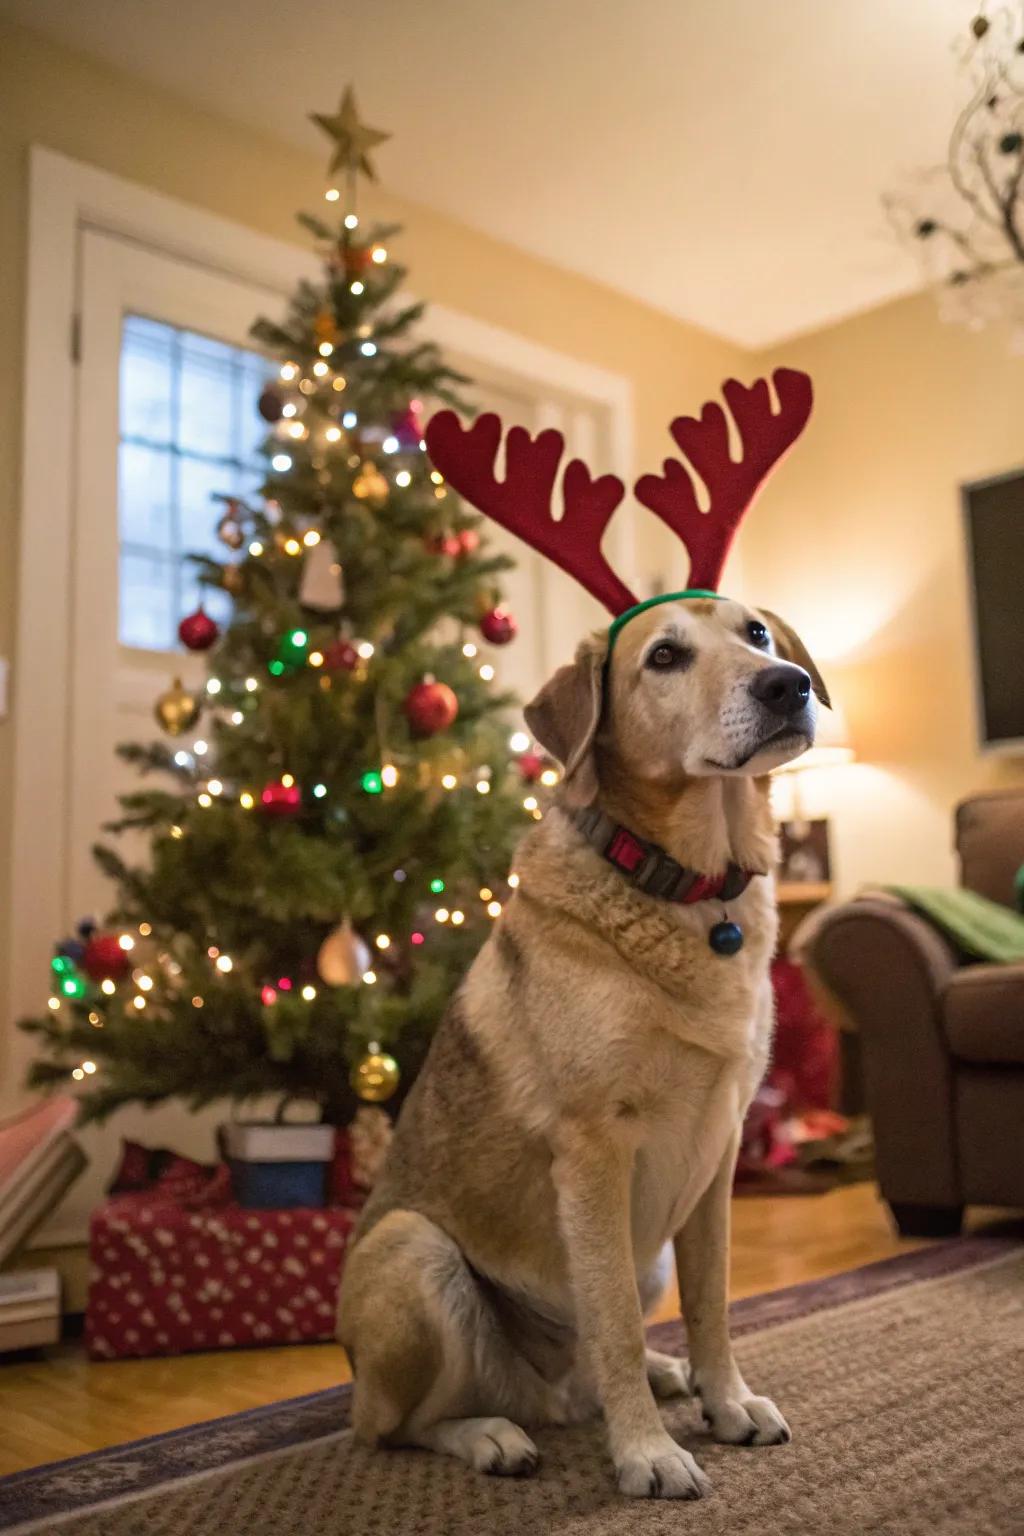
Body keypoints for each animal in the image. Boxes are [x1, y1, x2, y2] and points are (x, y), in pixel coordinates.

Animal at [340, 589, 829, 1499]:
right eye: (664, 657)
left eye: (754, 634)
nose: (787, 683)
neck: (689, 891)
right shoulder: (596, 1153)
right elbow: (616, 1327)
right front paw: (647, 1454)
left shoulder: (718, 1155)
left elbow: (713, 1304)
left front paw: (725, 1402)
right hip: (413, 1252)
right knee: (396, 1428)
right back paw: (492, 1436)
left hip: (649, 1254)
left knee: (577, 1377)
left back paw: (662, 1379)